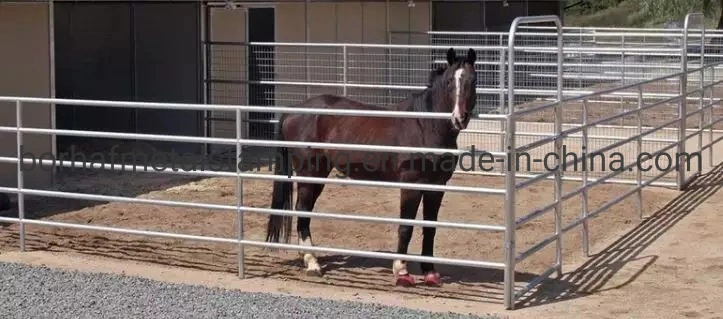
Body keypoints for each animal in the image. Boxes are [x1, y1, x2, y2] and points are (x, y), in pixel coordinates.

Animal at [264, 47, 478, 288]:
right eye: (450, 81)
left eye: (472, 80)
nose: (459, 118)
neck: (426, 126)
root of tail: (293, 111)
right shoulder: (411, 186)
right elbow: (406, 227)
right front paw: (401, 272)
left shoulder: (437, 187)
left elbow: (430, 227)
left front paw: (430, 273)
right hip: (309, 173)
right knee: (302, 209)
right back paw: (312, 264)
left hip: (319, 174)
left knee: (306, 211)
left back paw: (307, 257)